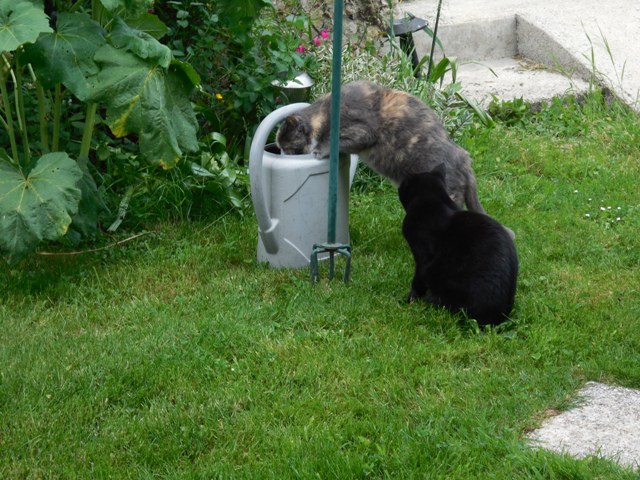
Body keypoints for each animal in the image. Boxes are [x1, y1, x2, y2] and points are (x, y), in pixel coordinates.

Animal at [276, 80, 486, 213]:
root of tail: (464, 160)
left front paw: (320, 149)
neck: (324, 112)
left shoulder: (363, 131)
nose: (281, 154)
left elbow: (332, 141)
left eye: (287, 148)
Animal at [399, 165, 518, 326]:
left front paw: (409, 301)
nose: (398, 188)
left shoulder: (423, 259)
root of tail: (497, 320)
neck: (434, 201)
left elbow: (417, 281)